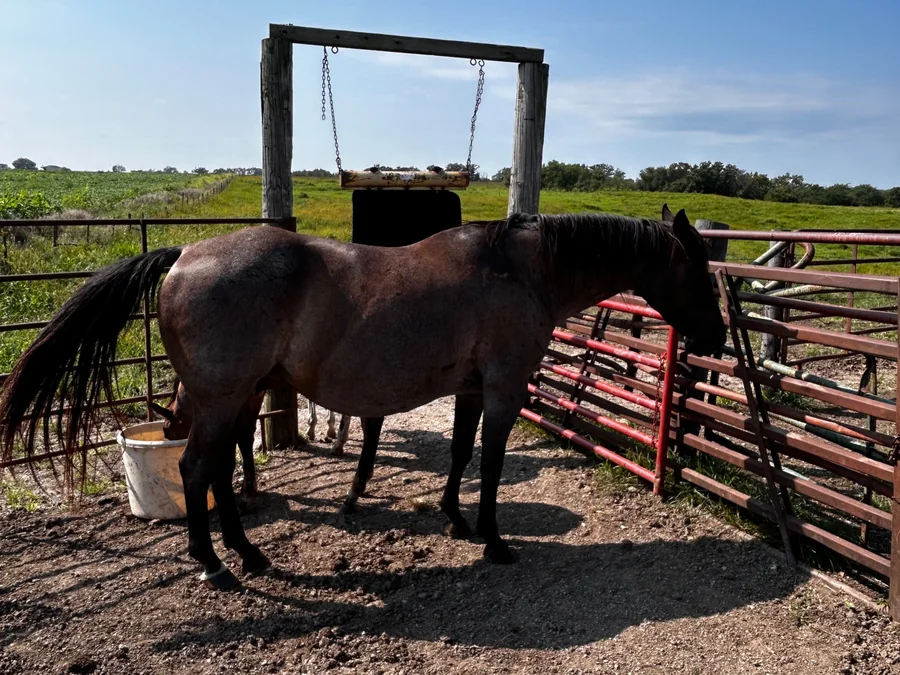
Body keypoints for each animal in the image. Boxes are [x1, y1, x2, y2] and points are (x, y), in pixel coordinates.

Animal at [0, 205, 725, 592]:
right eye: (702, 272)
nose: (717, 339)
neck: (520, 269)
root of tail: (184, 254)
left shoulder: (470, 388)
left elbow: (460, 456)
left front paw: (455, 520)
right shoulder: (502, 387)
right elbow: (490, 465)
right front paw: (494, 540)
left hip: (233, 399)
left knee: (221, 472)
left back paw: (247, 552)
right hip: (220, 399)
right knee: (197, 470)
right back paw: (215, 564)